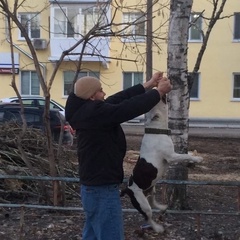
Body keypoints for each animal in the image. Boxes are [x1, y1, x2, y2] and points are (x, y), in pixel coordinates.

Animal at [122, 95, 202, 232]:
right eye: (163, 100)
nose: (163, 94)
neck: (156, 129)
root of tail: (127, 189)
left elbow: (186, 155)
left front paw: (193, 157)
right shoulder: (172, 156)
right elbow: (183, 156)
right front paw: (198, 159)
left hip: (151, 189)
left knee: (152, 201)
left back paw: (162, 207)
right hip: (142, 203)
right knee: (148, 216)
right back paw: (157, 228)